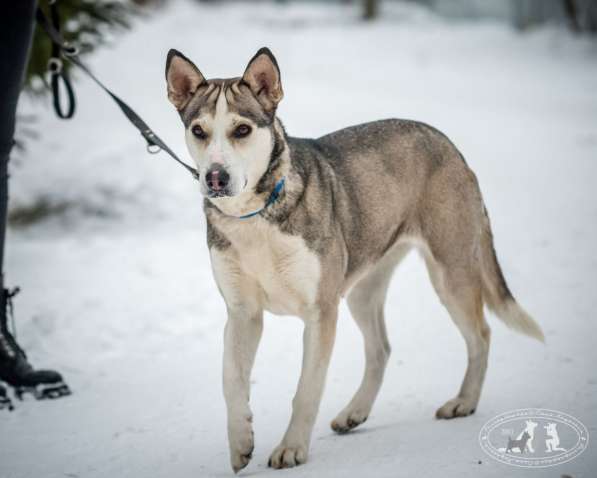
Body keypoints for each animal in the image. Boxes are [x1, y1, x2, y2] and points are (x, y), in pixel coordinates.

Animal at [164, 46, 544, 472]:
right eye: (199, 131)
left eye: (242, 130)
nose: (215, 178)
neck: (257, 214)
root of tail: (445, 142)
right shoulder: (243, 313)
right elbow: (231, 382)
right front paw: (241, 442)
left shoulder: (320, 313)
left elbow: (306, 388)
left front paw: (292, 447)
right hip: (364, 290)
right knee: (381, 349)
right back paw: (354, 412)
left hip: (452, 272)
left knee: (481, 335)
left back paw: (464, 401)